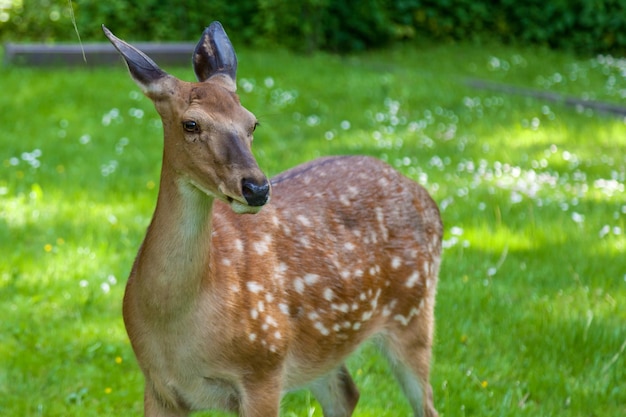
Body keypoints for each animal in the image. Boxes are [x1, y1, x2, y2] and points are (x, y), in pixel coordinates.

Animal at [102, 22, 442, 416]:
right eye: (190, 124)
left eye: (252, 124)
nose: (257, 188)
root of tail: (426, 196)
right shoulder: (157, 385)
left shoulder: (264, 366)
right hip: (325, 346)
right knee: (347, 391)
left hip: (413, 310)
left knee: (425, 403)